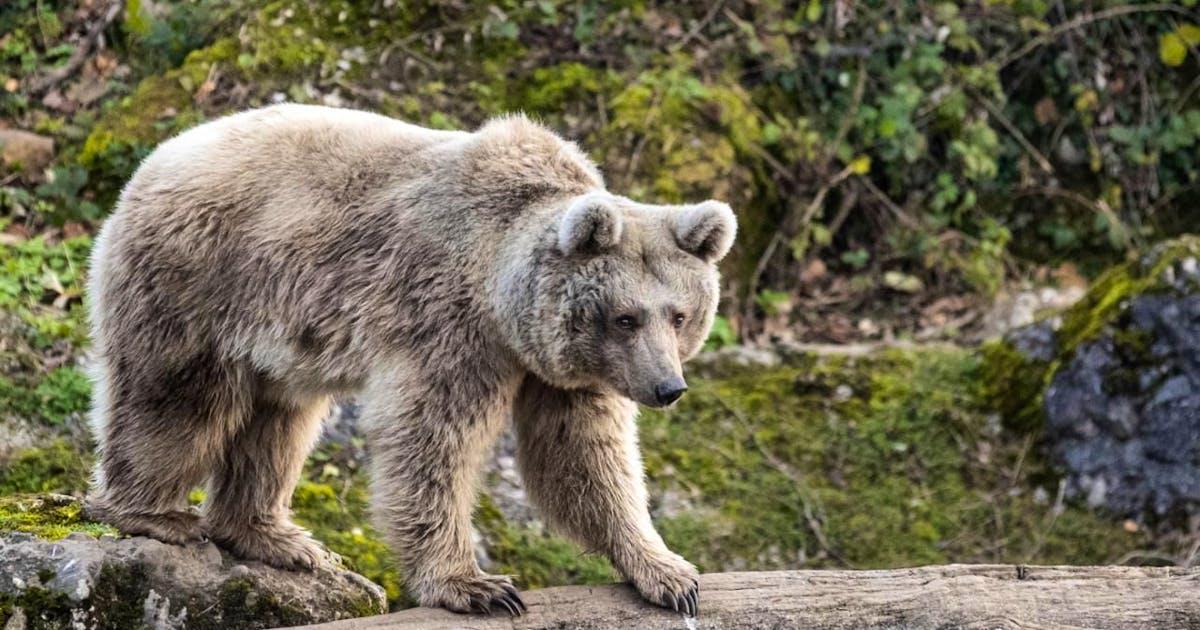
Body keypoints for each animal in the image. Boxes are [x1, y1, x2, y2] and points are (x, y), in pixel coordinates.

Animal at [85, 103, 736, 617]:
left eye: (679, 314)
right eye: (626, 316)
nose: (667, 387)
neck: (502, 298)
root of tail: (157, 156)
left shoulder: (565, 370)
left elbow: (584, 457)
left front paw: (669, 573)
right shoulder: (446, 322)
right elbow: (432, 439)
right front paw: (477, 586)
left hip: (278, 342)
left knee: (278, 425)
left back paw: (277, 538)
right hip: (201, 281)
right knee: (177, 400)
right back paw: (155, 514)